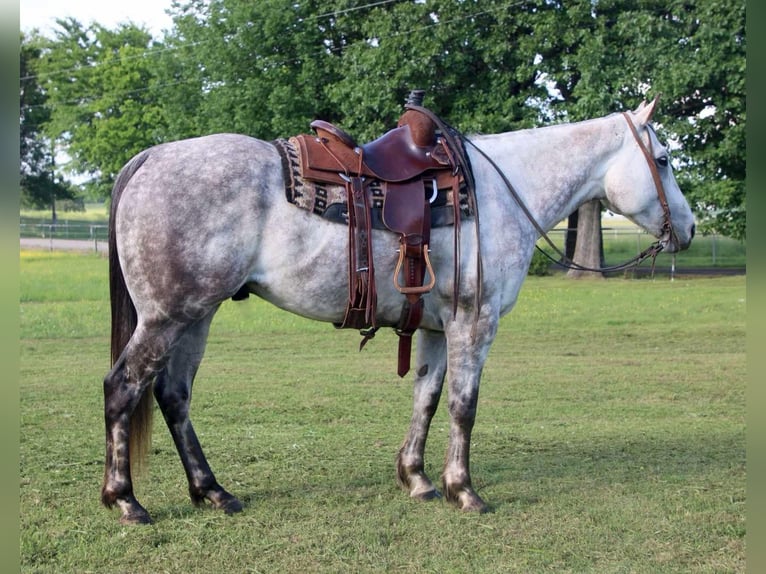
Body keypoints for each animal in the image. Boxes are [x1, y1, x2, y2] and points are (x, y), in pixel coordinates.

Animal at [101, 98, 695, 524]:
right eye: (664, 160)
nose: (687, 228)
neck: (501, 194)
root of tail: (150, 158)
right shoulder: (474, 323)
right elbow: (463, 406)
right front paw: (464, 490)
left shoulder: (436, 327)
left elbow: (426, 398)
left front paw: (417, 479)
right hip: (167, 319)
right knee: (123, 387)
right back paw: (125, 500)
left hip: (196, 316)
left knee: (174, 395)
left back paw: (213, 492)